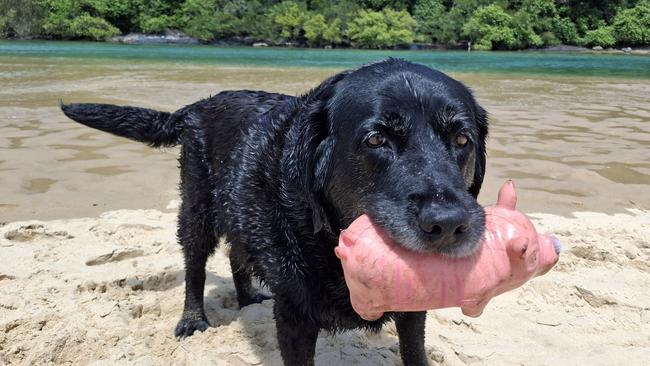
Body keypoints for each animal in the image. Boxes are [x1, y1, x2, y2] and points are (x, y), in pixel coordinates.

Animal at [62, 60, 486, 366]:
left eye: (462, 138)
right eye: (376, 139)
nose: (449, 224)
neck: (328, 241)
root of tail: (199, 105)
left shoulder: (412, 312)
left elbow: (414, 350)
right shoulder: (294, 317)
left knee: (237, 252)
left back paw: (248, 296)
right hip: (198, 211)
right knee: (195, 265)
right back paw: (193, 319)